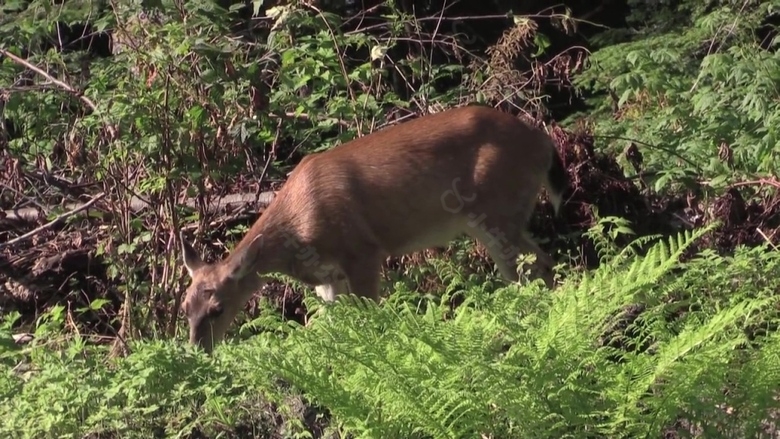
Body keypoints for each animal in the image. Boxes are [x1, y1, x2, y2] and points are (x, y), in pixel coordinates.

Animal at [178, 104, 568, 354]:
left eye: (218, 309)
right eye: (184, 307)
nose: (198, 350)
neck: (297, 230)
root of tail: (543, 142)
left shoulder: (362, 252)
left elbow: (370, 317)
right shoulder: (328, 277)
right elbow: (333, 325)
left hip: (497, 211)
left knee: (539, 265)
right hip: (496, 220)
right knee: (528, 271)